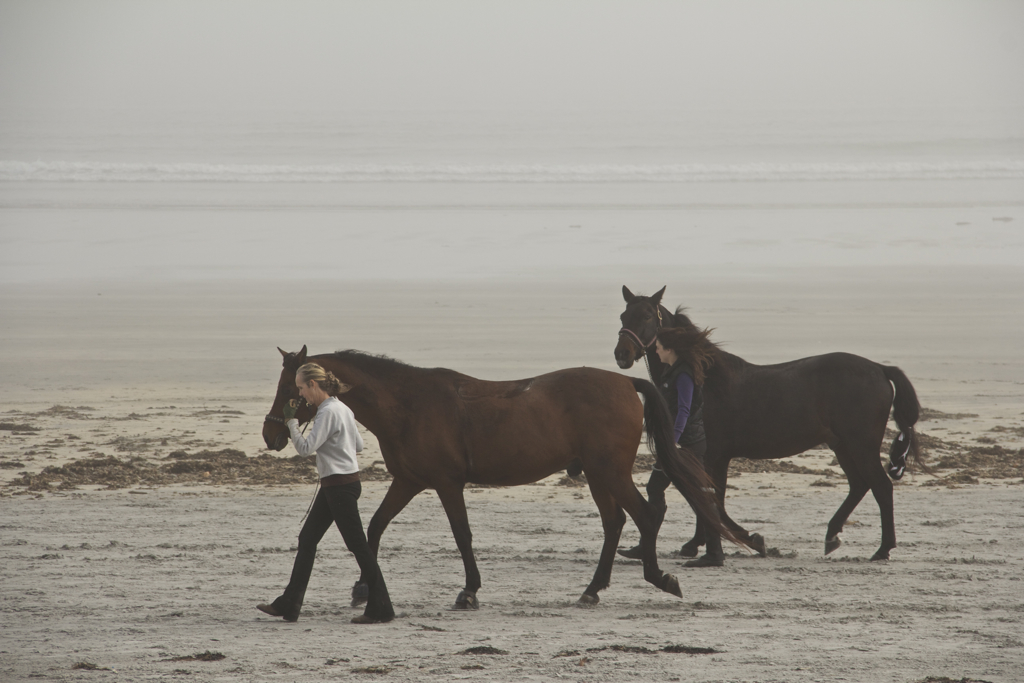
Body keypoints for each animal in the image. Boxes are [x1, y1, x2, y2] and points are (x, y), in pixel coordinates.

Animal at [262, 345, 737, 609]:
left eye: (290, 390)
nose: (271, 434)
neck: (409, 405)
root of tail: (625, 384)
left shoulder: (447, 484)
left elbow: (462, 535)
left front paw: (469, 591)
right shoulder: (409, 481)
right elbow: (375, 527)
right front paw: (363, 586)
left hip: (610, 472)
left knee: (645, 516)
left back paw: (659, 578)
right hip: (599, 475)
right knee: (615, 522)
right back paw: (593, 589)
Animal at [613, 286, 925, 561]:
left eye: (647, 316)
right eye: (623, 315)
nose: (622, 354)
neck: (704, 378)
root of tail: (880, 369)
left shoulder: (715, 456)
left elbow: (712, 499)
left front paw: (746, 539)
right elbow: (707, 498)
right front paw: (699, 543)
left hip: (862, 445)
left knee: (881, 487)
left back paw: (882, 549)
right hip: (842, 445)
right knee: (859, 485)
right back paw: (832, 536)